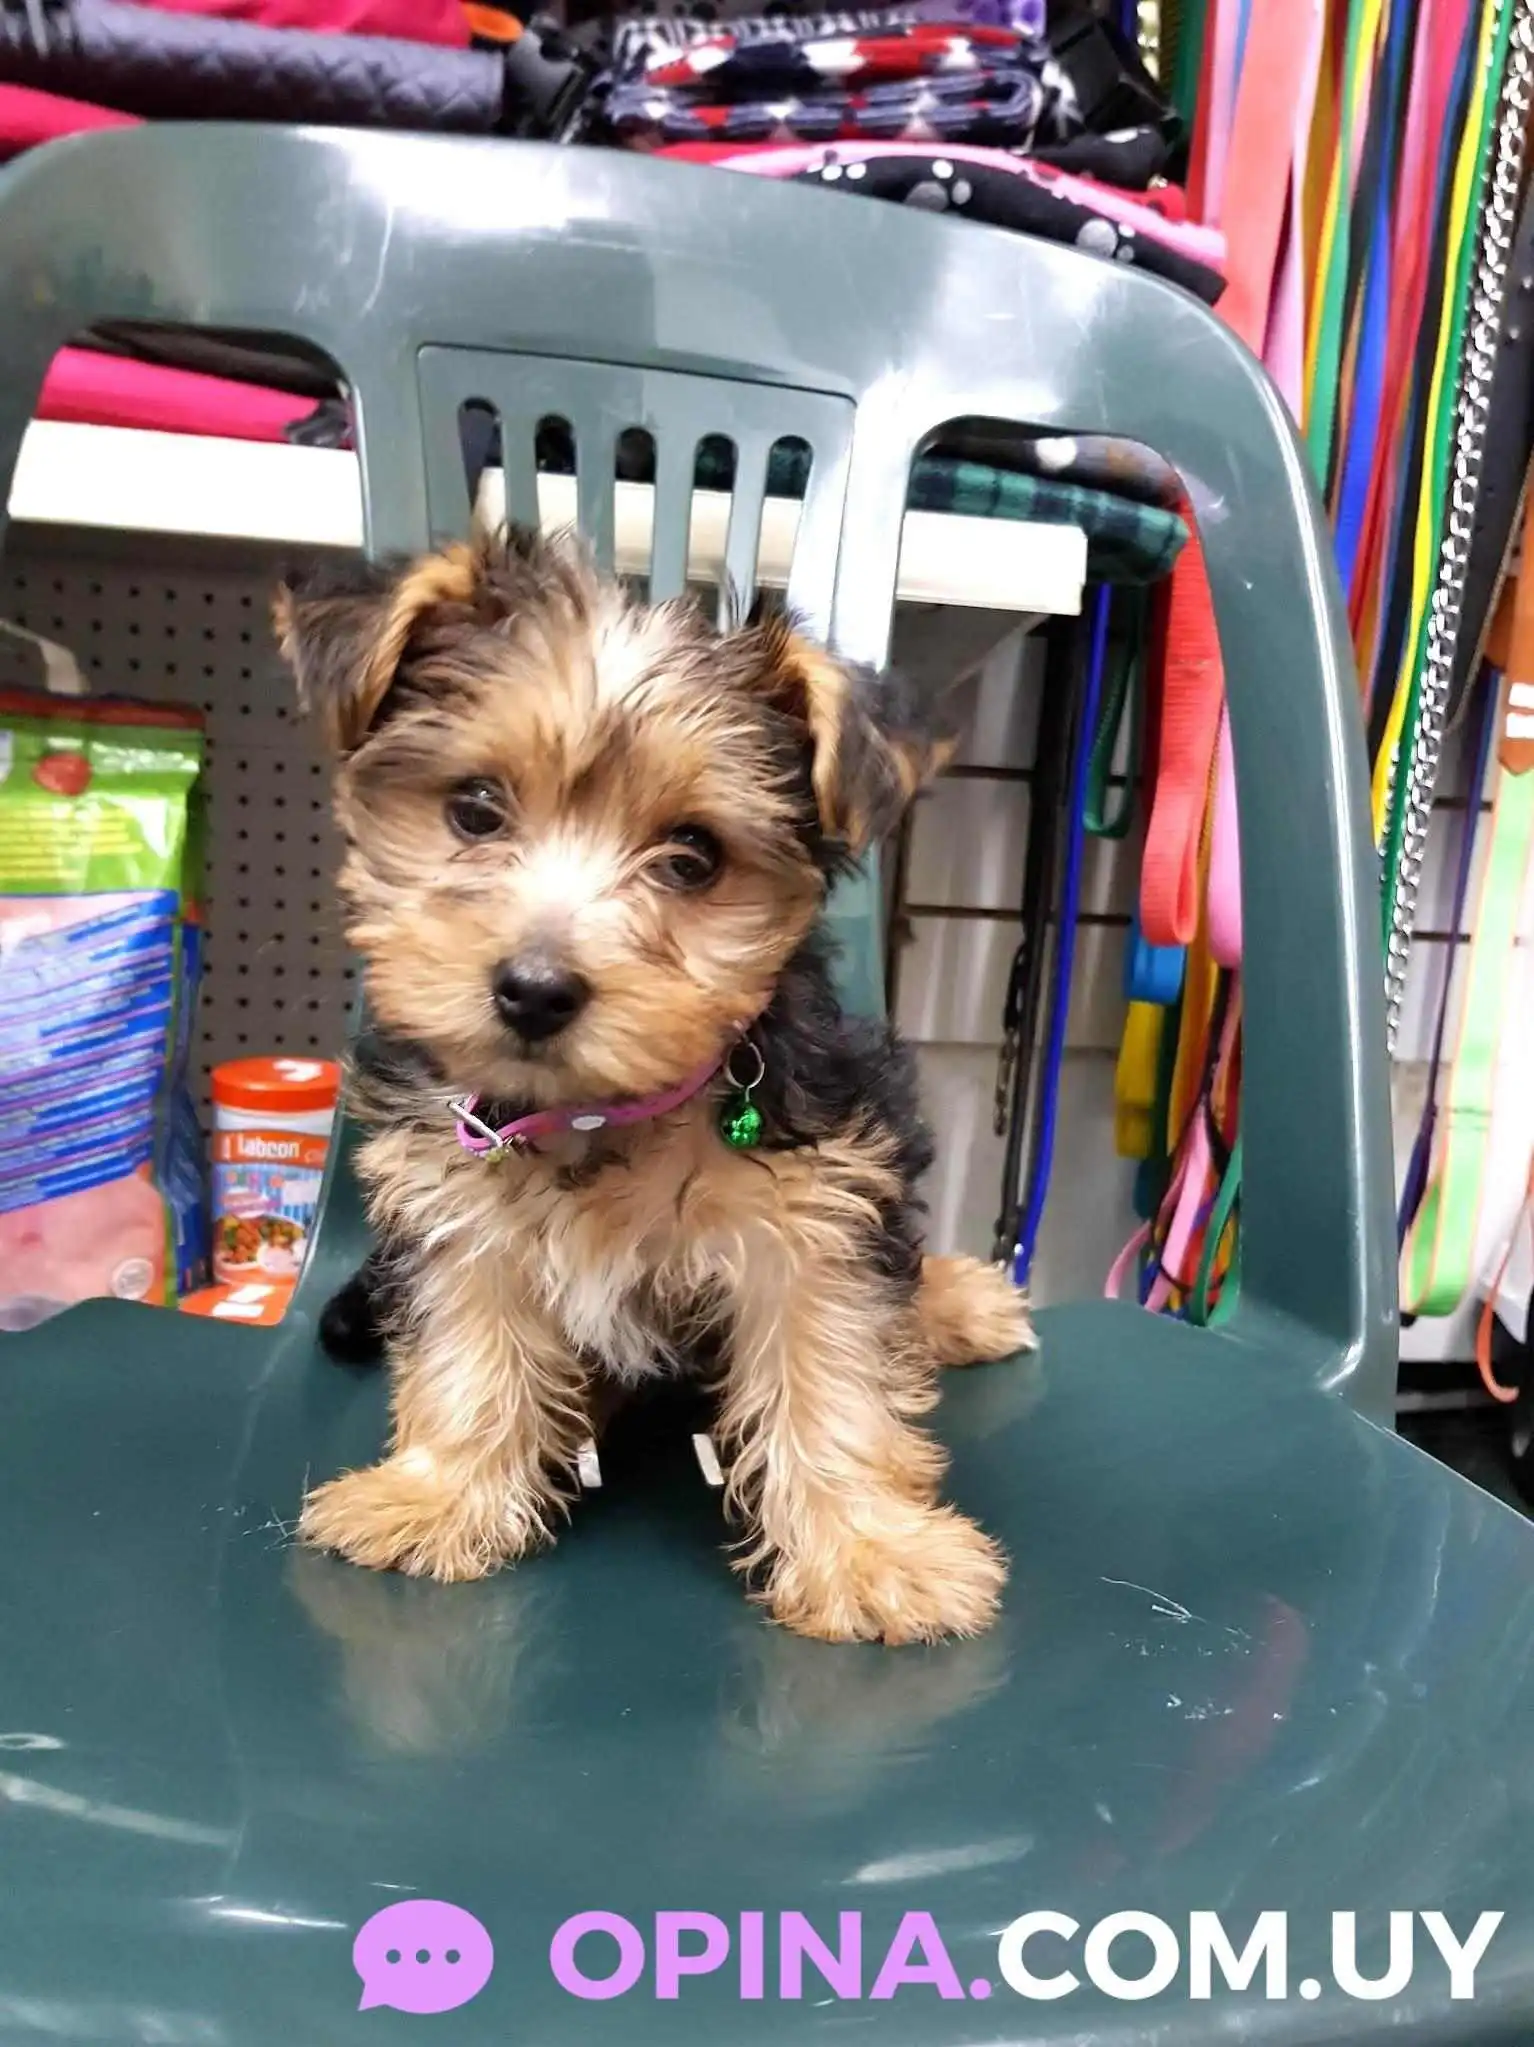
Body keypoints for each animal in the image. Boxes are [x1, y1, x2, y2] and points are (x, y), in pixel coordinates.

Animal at [276, 527, 1033, 1643]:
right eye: (474, 809)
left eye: (693, 858)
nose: (534, 989)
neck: (605, 1107)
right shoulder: (455, 1204)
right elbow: (467, 1348)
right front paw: (439, 1493)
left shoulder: (815, 1212)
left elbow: (834, 1375)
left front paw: (868, 1552)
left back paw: (960, 1300)